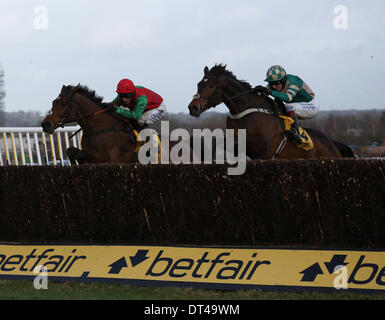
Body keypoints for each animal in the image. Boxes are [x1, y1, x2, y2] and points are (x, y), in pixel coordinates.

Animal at [189, 65, 348, 160]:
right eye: (198, 84)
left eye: (210, 85)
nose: (192, 107)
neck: (246, 109)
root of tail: (332, 143)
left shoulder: (261, 145)